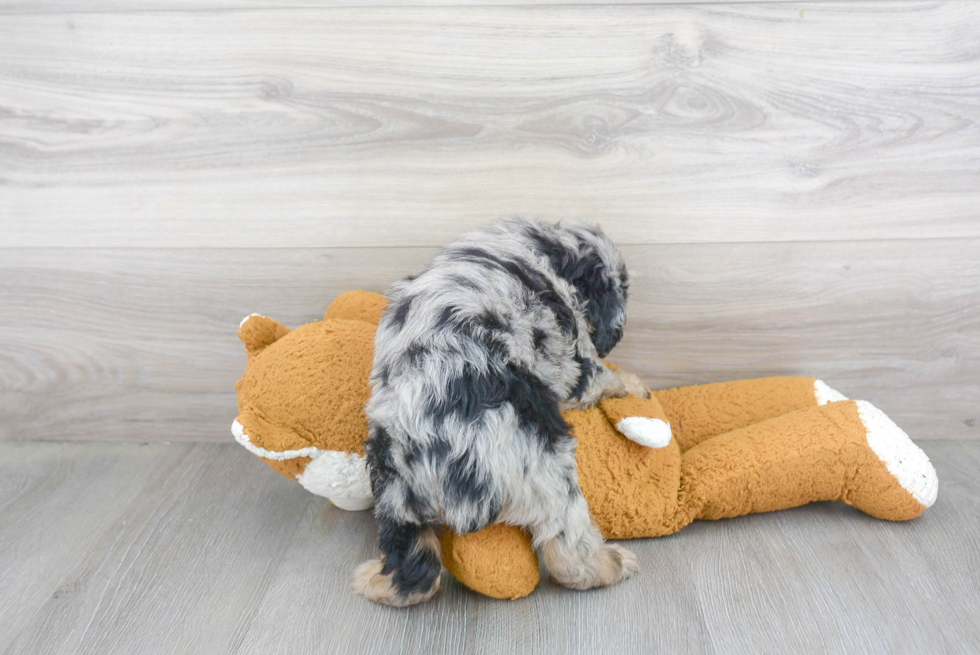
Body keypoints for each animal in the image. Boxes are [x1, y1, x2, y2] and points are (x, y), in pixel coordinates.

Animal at [354, 218, 652, 608]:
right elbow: (603, 374)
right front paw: (634, 386)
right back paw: (610, 565)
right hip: (547, 467)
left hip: (392, 494)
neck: (547, 249)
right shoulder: (576, 363)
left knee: (415, 571)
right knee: (568, 546)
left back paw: (376, 582)